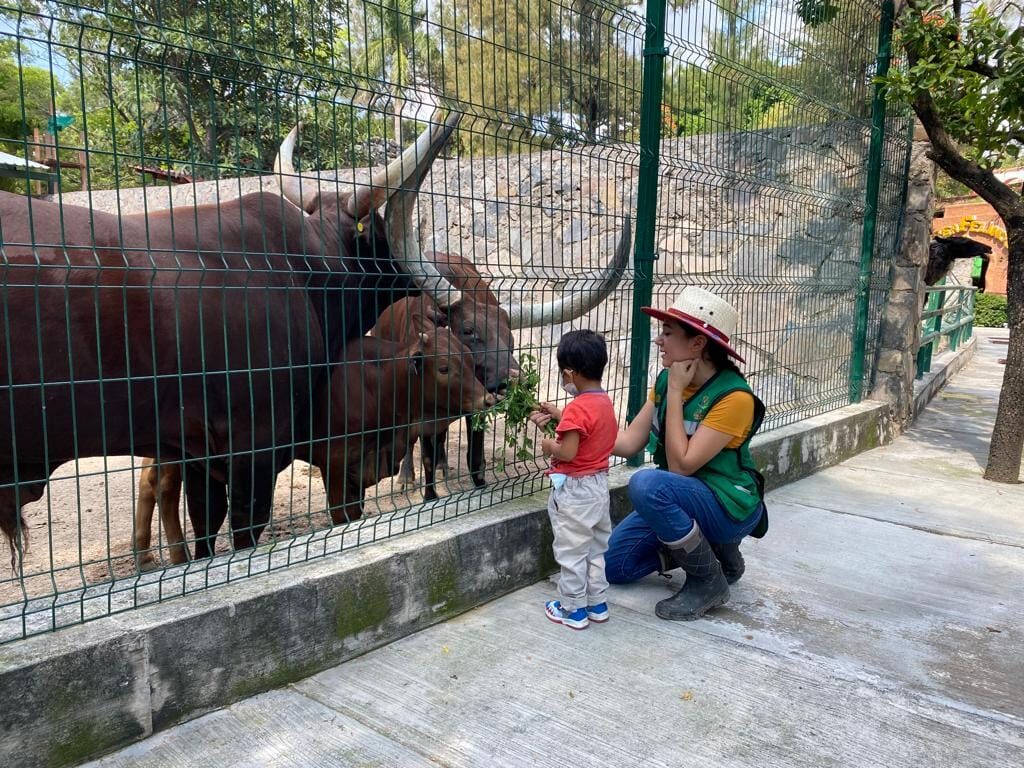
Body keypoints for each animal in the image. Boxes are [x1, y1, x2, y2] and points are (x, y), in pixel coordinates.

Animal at [0, 111, 464, 565]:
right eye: (383, 234)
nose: (439, 293)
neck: (305, 268)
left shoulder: (195, 451)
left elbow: (205, 525)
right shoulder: (254, 446)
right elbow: (242, 529)